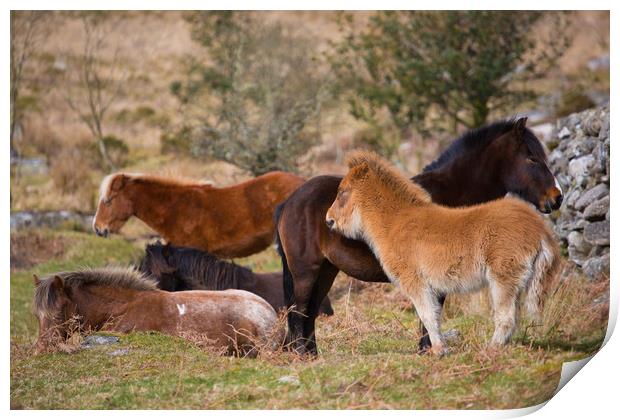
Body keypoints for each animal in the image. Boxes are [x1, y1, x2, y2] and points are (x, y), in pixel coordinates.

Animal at [278, 117, 564, 354]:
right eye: (531, 158)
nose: (557, 197)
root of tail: (289, 201)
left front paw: (427, 348)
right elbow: (429, 312)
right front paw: (428, 349)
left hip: (326, 271)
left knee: (310, 311)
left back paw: (312, 355)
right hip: (306, 271)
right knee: (300, 310)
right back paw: (302, 354)